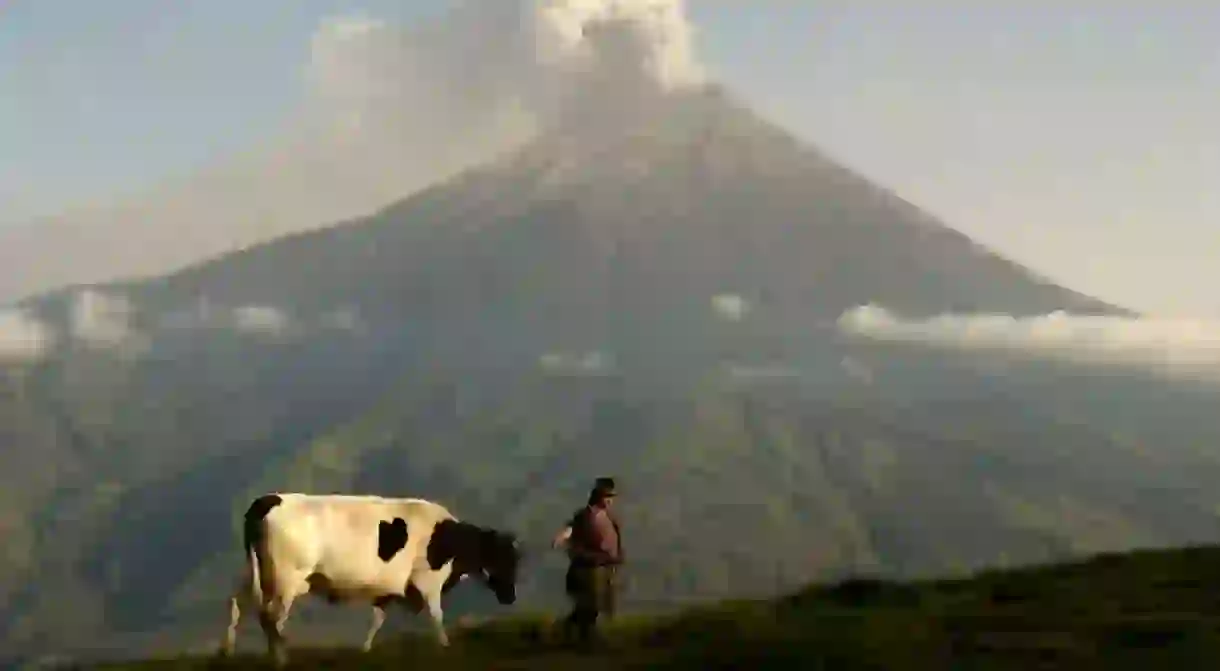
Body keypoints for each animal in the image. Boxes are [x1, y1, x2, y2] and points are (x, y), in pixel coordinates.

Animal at [219, 495, 519, 668]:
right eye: (504, 558)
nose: (511, 597)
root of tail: (267, 500)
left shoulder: (389, 591)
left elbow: (377, 620)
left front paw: (365, 650)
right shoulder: (428, 581)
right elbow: (436, 615)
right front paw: (445, 647)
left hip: (258, 572)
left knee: (239, 605)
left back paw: (229, 651)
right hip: (286, 577)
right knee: (271, 617)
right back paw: (280, 658)